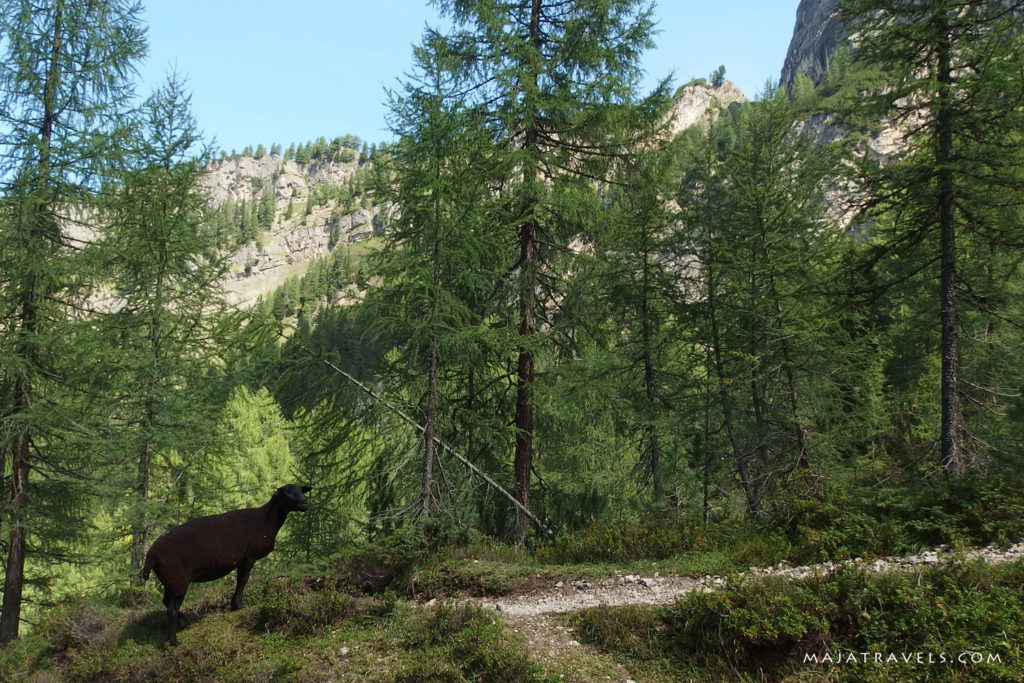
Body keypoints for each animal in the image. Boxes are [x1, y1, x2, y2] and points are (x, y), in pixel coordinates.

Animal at [139, 483, 311, 643]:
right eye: (287, 492)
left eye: (302, 490)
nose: (305, 502)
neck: (265, 519)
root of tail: (151, 555)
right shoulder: (248, 556)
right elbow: (243, 580)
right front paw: (237, 605)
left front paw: (234, 604)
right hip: (178, 579)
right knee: (172, 609)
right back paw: (174, 641)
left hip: (170, 580)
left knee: (166, 601)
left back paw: (184, 622)